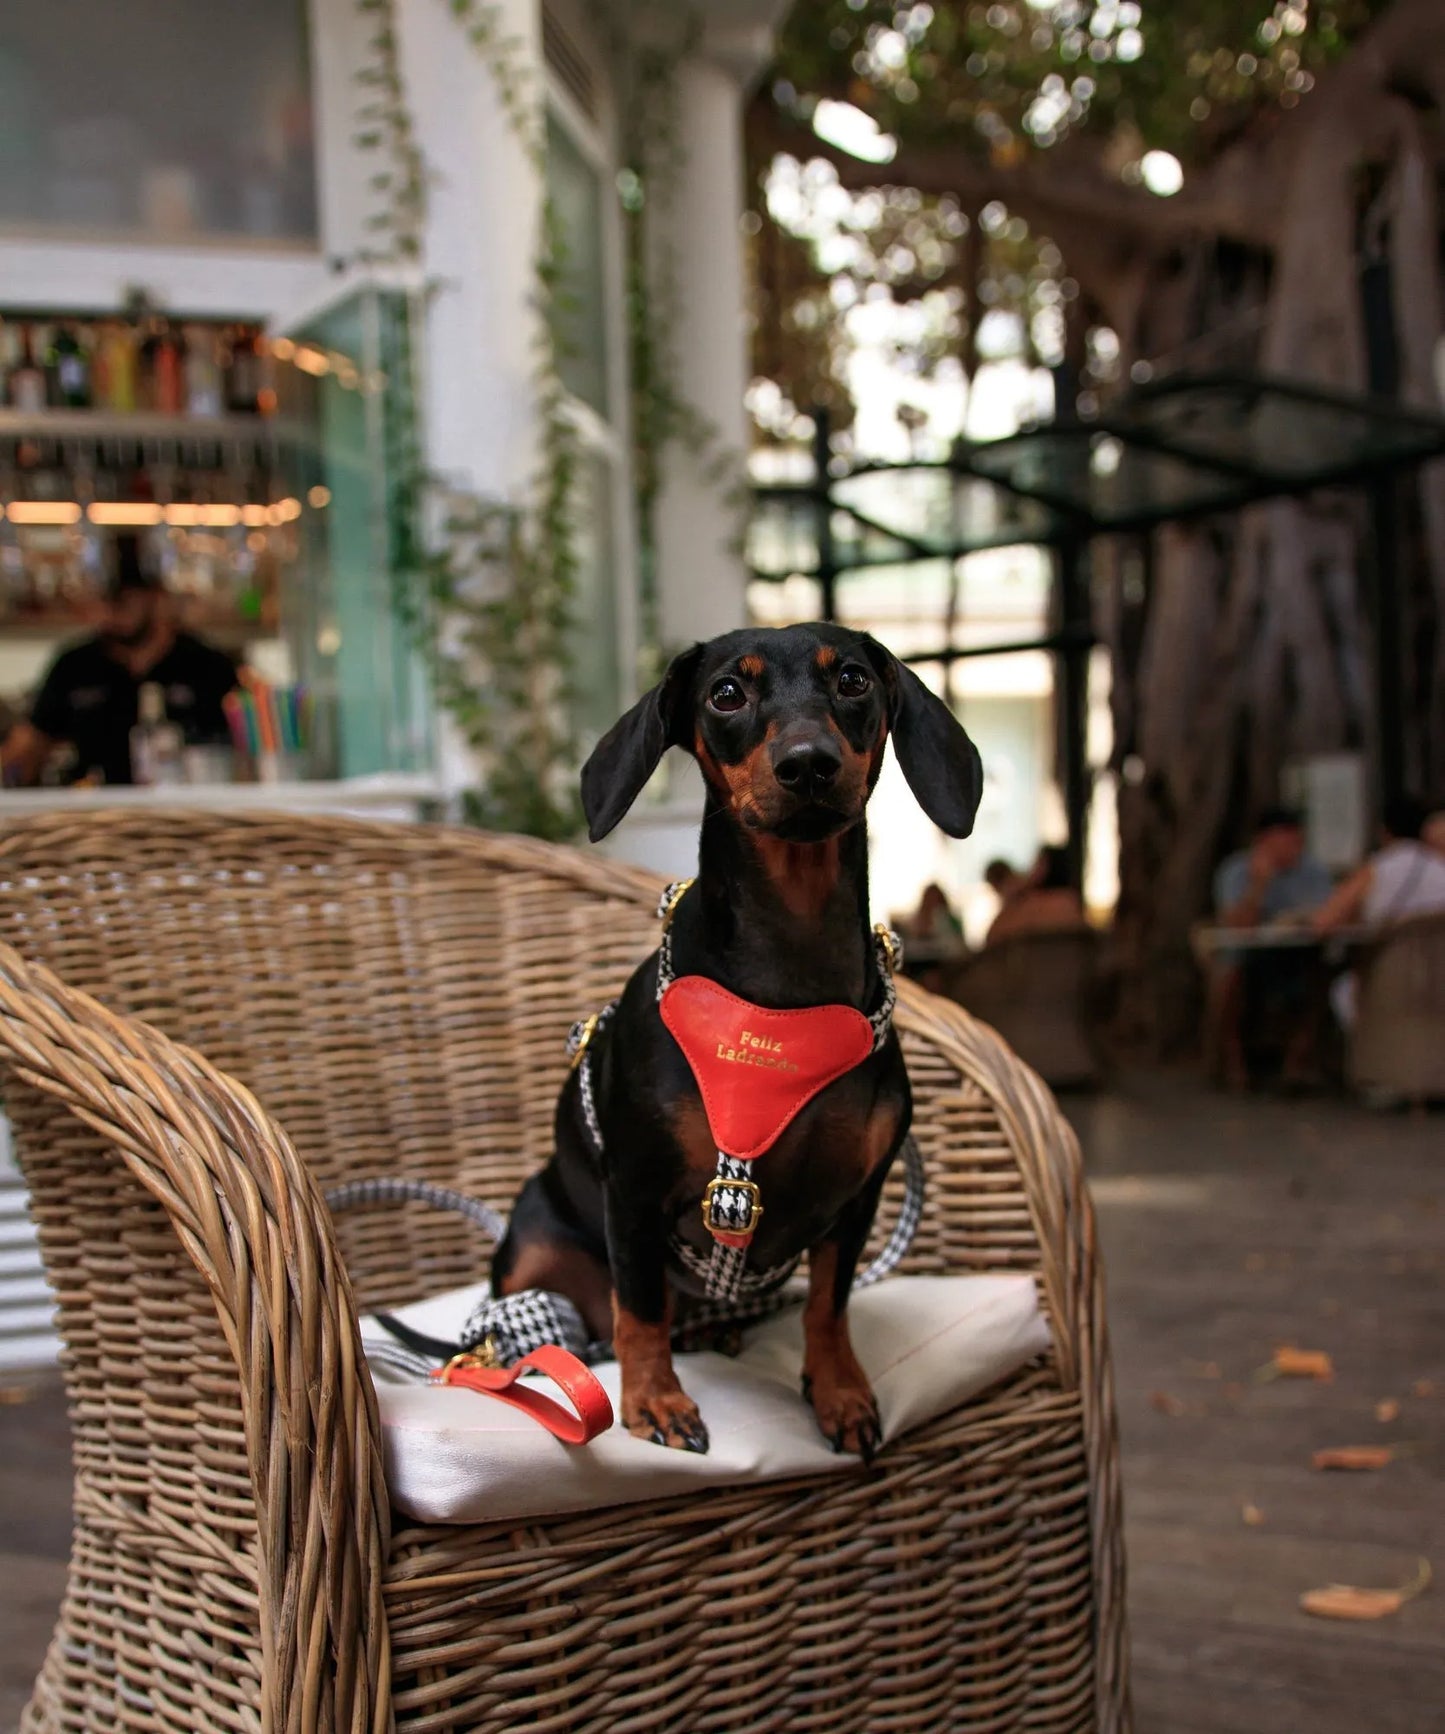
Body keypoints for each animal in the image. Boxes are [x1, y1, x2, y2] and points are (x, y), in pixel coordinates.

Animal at [492, 617, 978, 1456]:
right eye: (725, 693)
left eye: (852, 679)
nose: (808, 763)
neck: (786, 979)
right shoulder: (633, 1191)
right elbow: (639, 1308)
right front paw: (654, 1401)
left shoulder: (856, 1199)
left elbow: (828, 1305)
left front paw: (839, 1391)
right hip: (533, 1246)